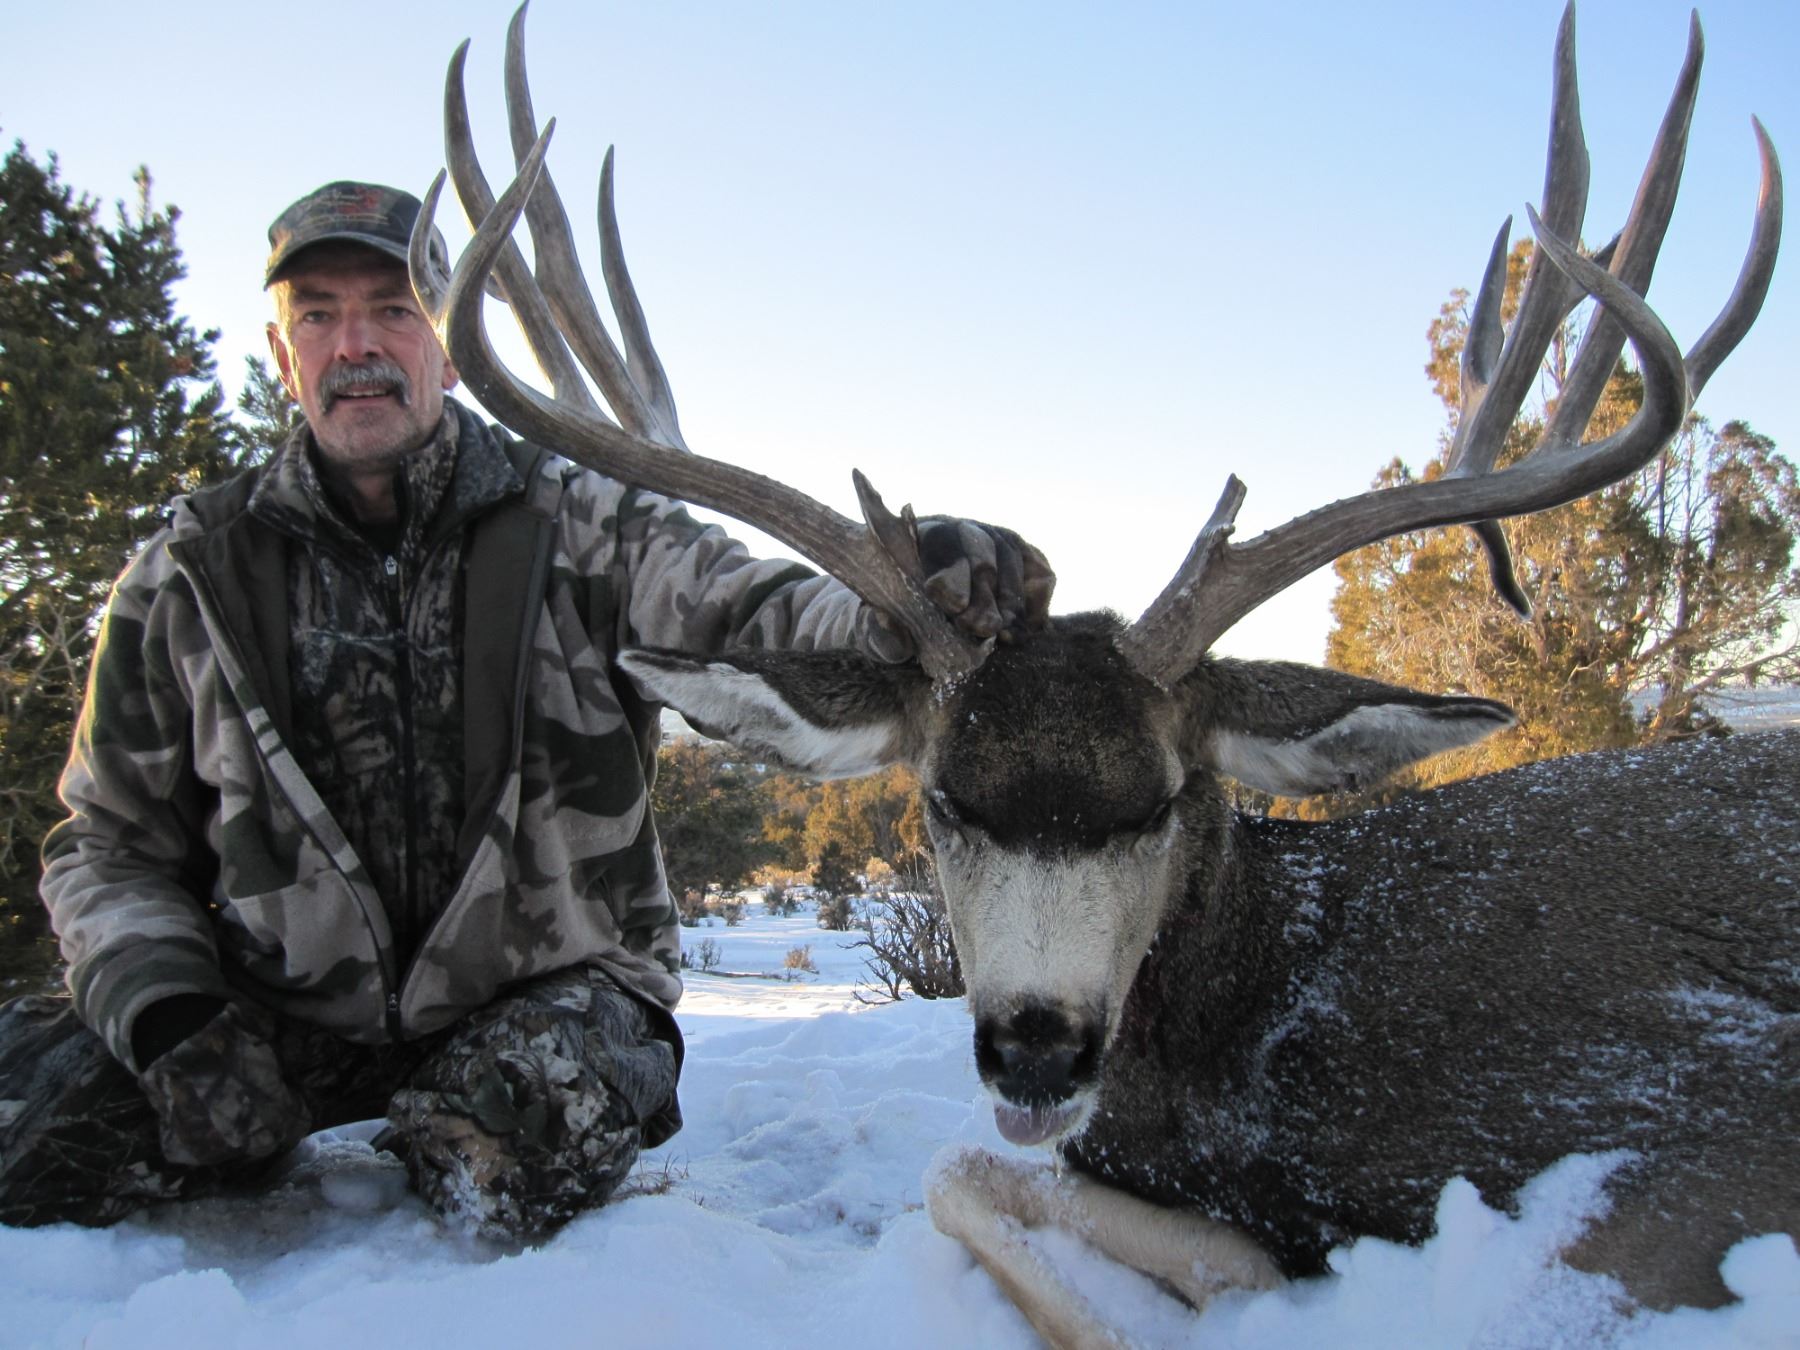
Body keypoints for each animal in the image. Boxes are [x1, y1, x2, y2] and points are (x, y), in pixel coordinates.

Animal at [417, 5, 1792, 1343]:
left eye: (1165, 800)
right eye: (943, 799)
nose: (1038, 1051)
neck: (1281, 1013)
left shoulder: (1687, 1130)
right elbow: (965, 1175)